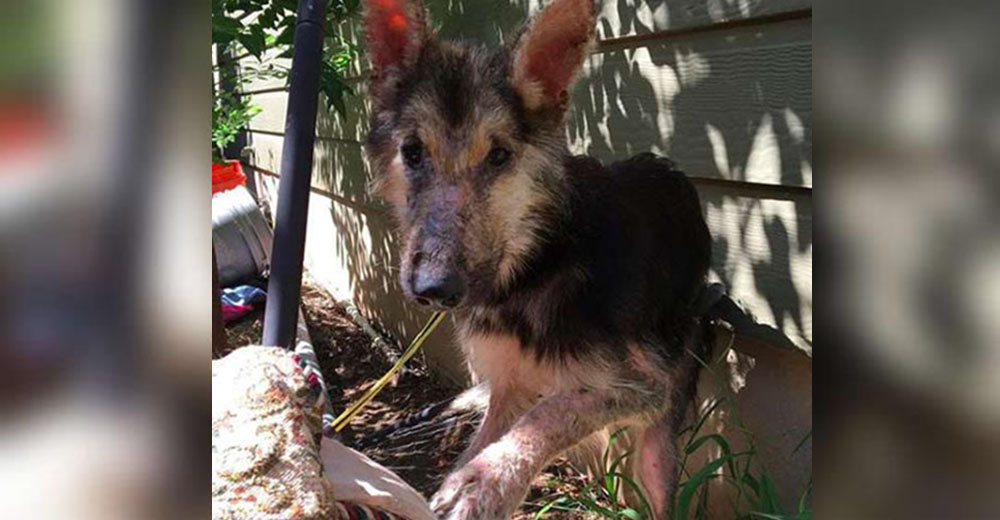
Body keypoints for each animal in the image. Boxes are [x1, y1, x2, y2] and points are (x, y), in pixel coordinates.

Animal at [360, 0, 712, 516]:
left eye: (500, 156)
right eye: (412, 151)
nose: (435, 289)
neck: (537, 262)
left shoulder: (645, 389)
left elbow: (551, 412)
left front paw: (485, 482)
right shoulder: (509, 385)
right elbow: (485, 437)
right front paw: (473, 477)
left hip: (661, 430)